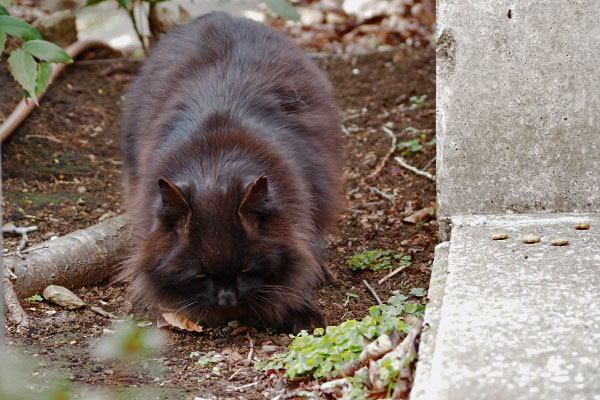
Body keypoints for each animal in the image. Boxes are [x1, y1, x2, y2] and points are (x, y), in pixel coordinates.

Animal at [120, 11, 342, 332]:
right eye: (200, 276)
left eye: (246, 270)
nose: (227, 300)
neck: (215, 167)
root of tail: (219, 15)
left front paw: (303, 310)